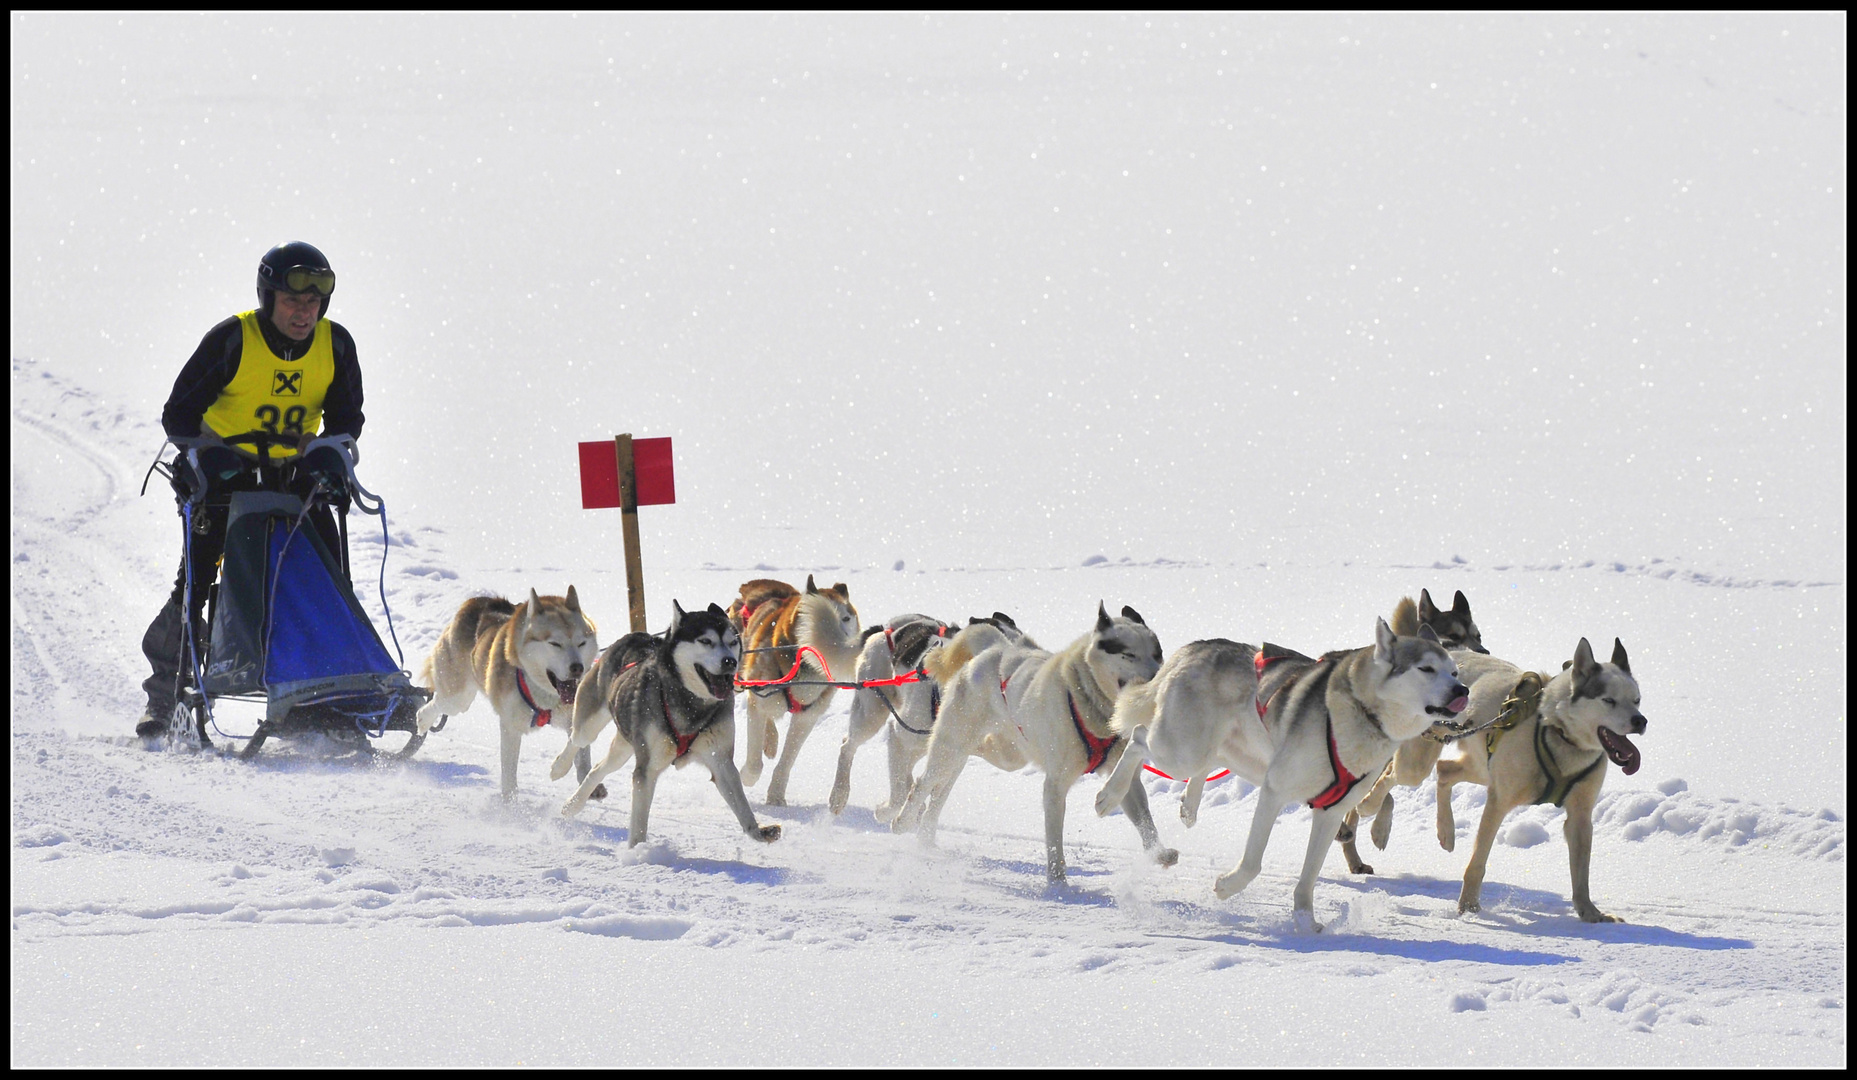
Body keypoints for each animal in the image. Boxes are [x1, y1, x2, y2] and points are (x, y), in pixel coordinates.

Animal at [1426, 638, 1649, 927]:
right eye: (1608, 700)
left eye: (1637, 700)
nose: (1640, 720)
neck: (1557, 732)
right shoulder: (1498, 802)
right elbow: (1477, 862)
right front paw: (1469, 905)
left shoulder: (1580, 816)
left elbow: (1581, 873)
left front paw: (1589, 911)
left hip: (1481, 767)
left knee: (1444, 771)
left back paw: (1446, 832)